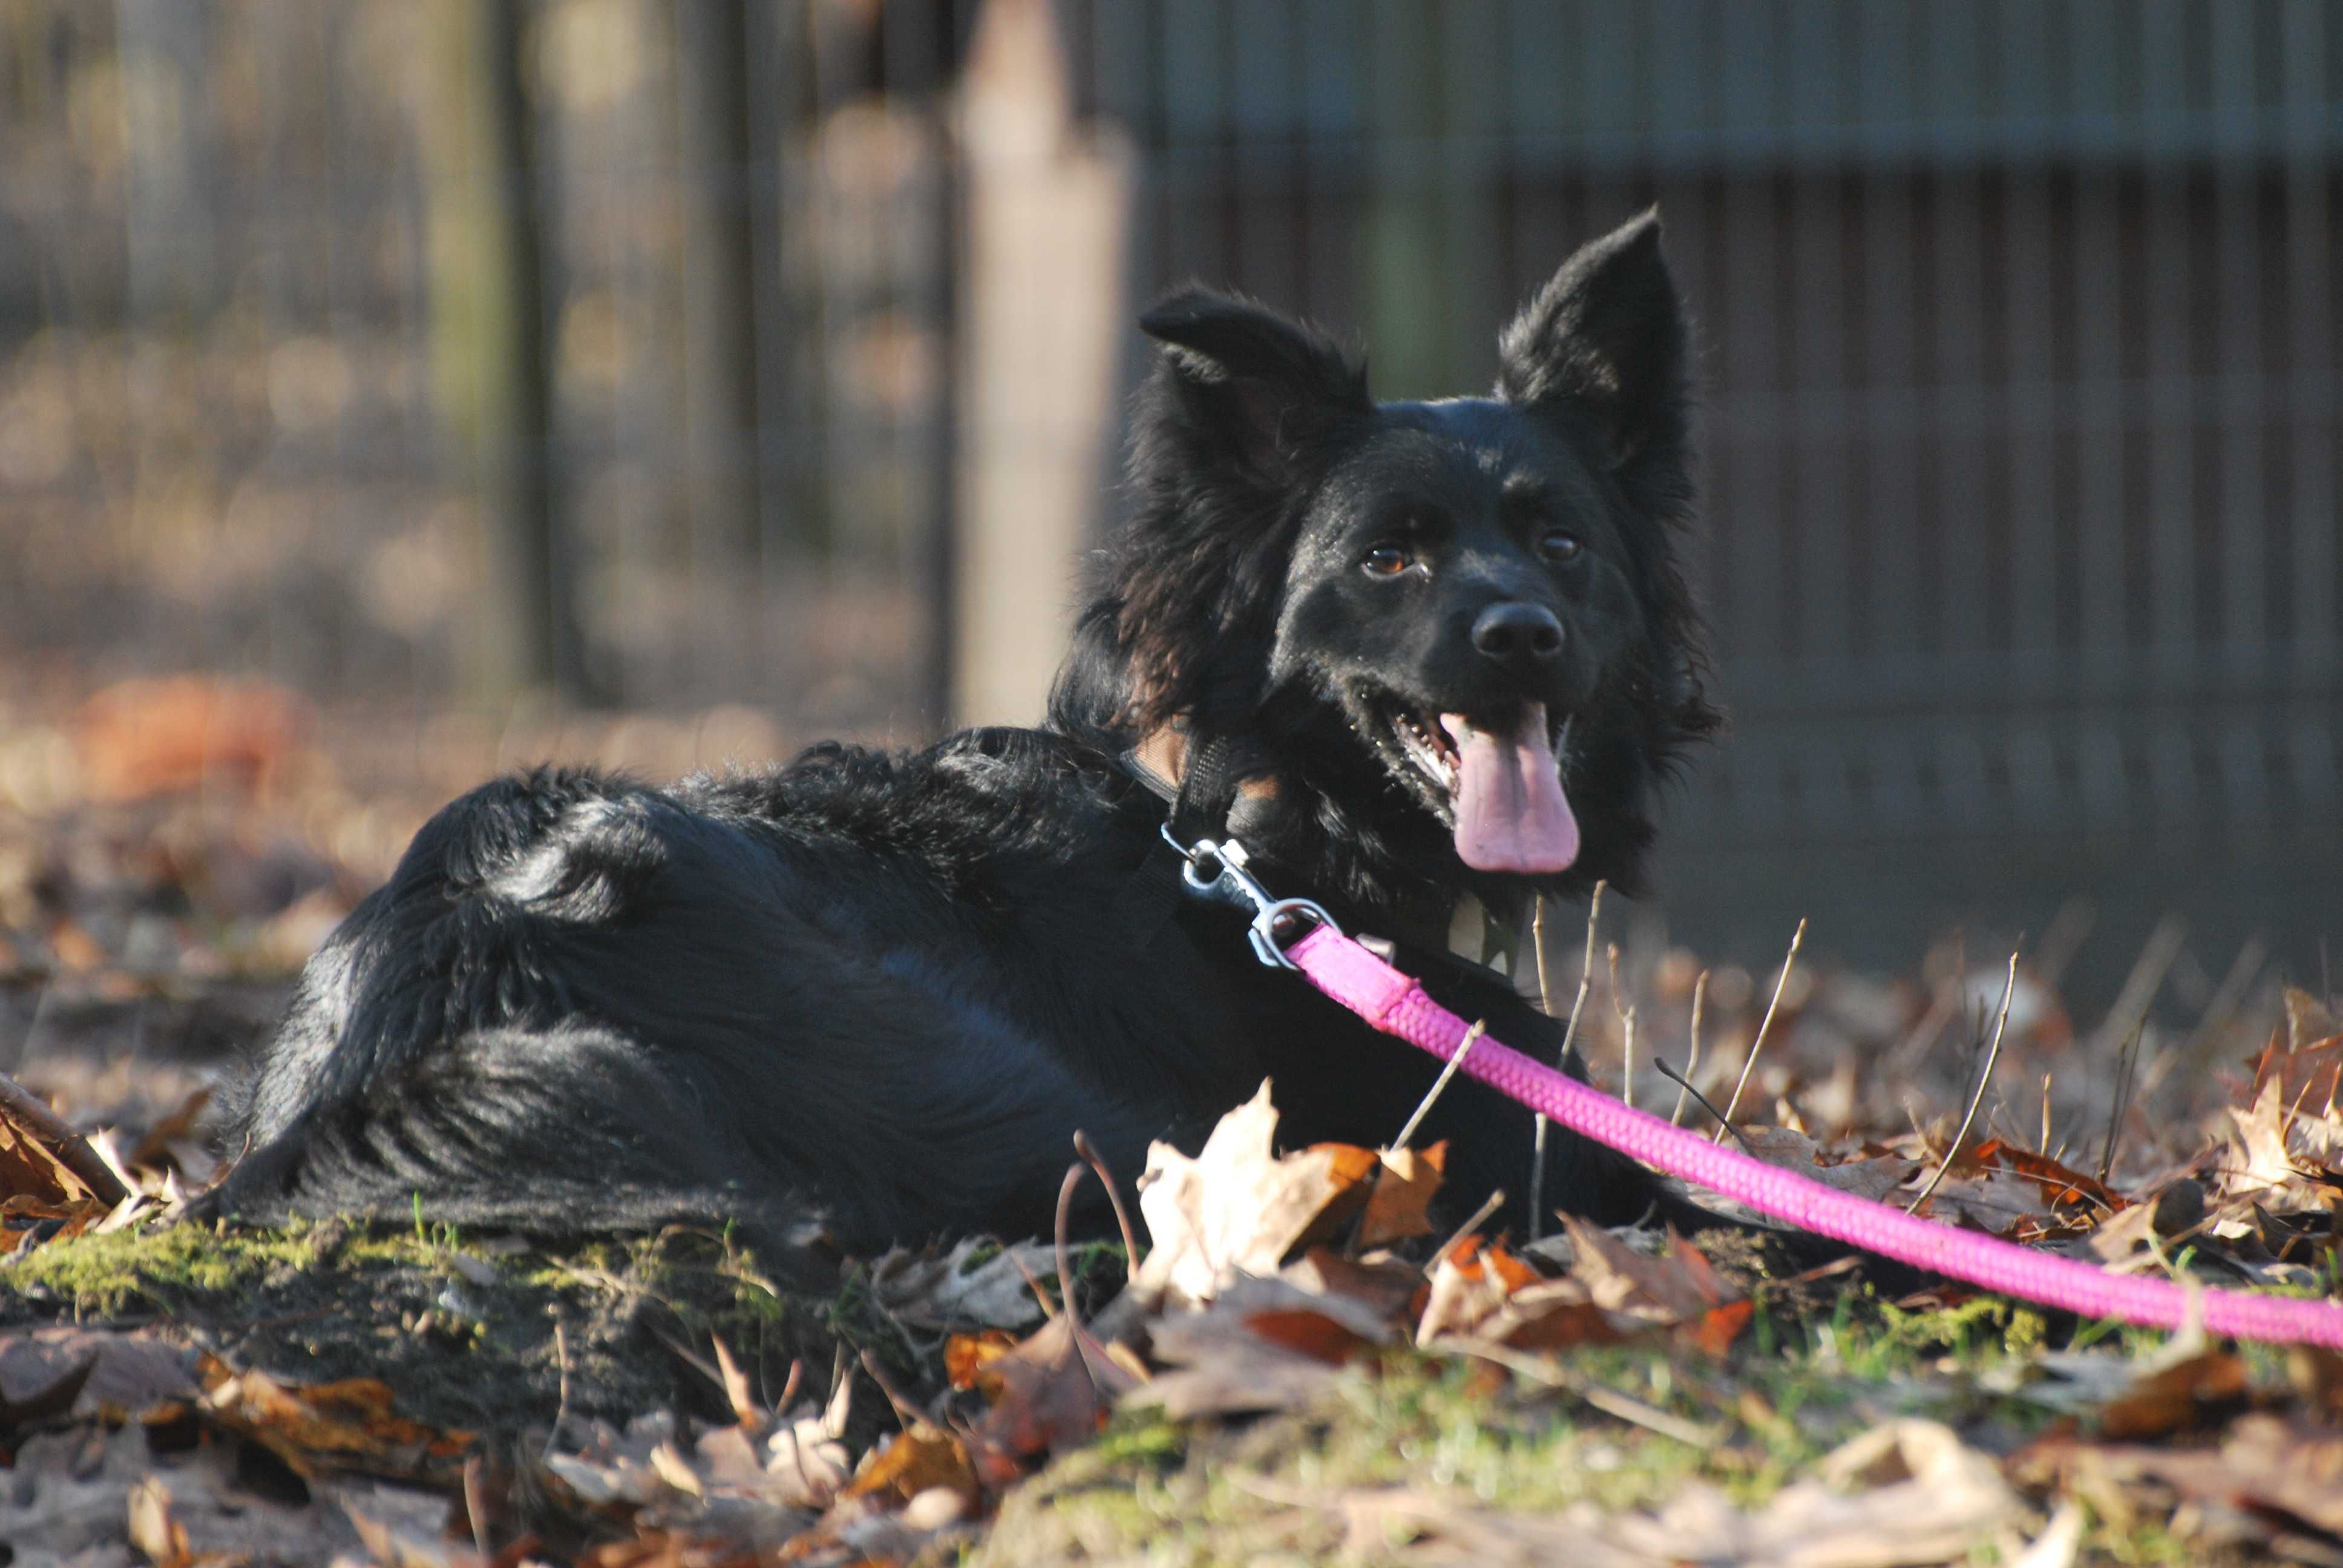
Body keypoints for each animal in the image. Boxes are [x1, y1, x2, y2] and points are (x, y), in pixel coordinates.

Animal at [215, 211, 1724, 1256]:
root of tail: (409, 1029)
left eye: (1562, 543)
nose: (1523, 633)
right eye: (1388, 560)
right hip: (1069, 1123)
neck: (1241, 837)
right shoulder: (1477, 1132)